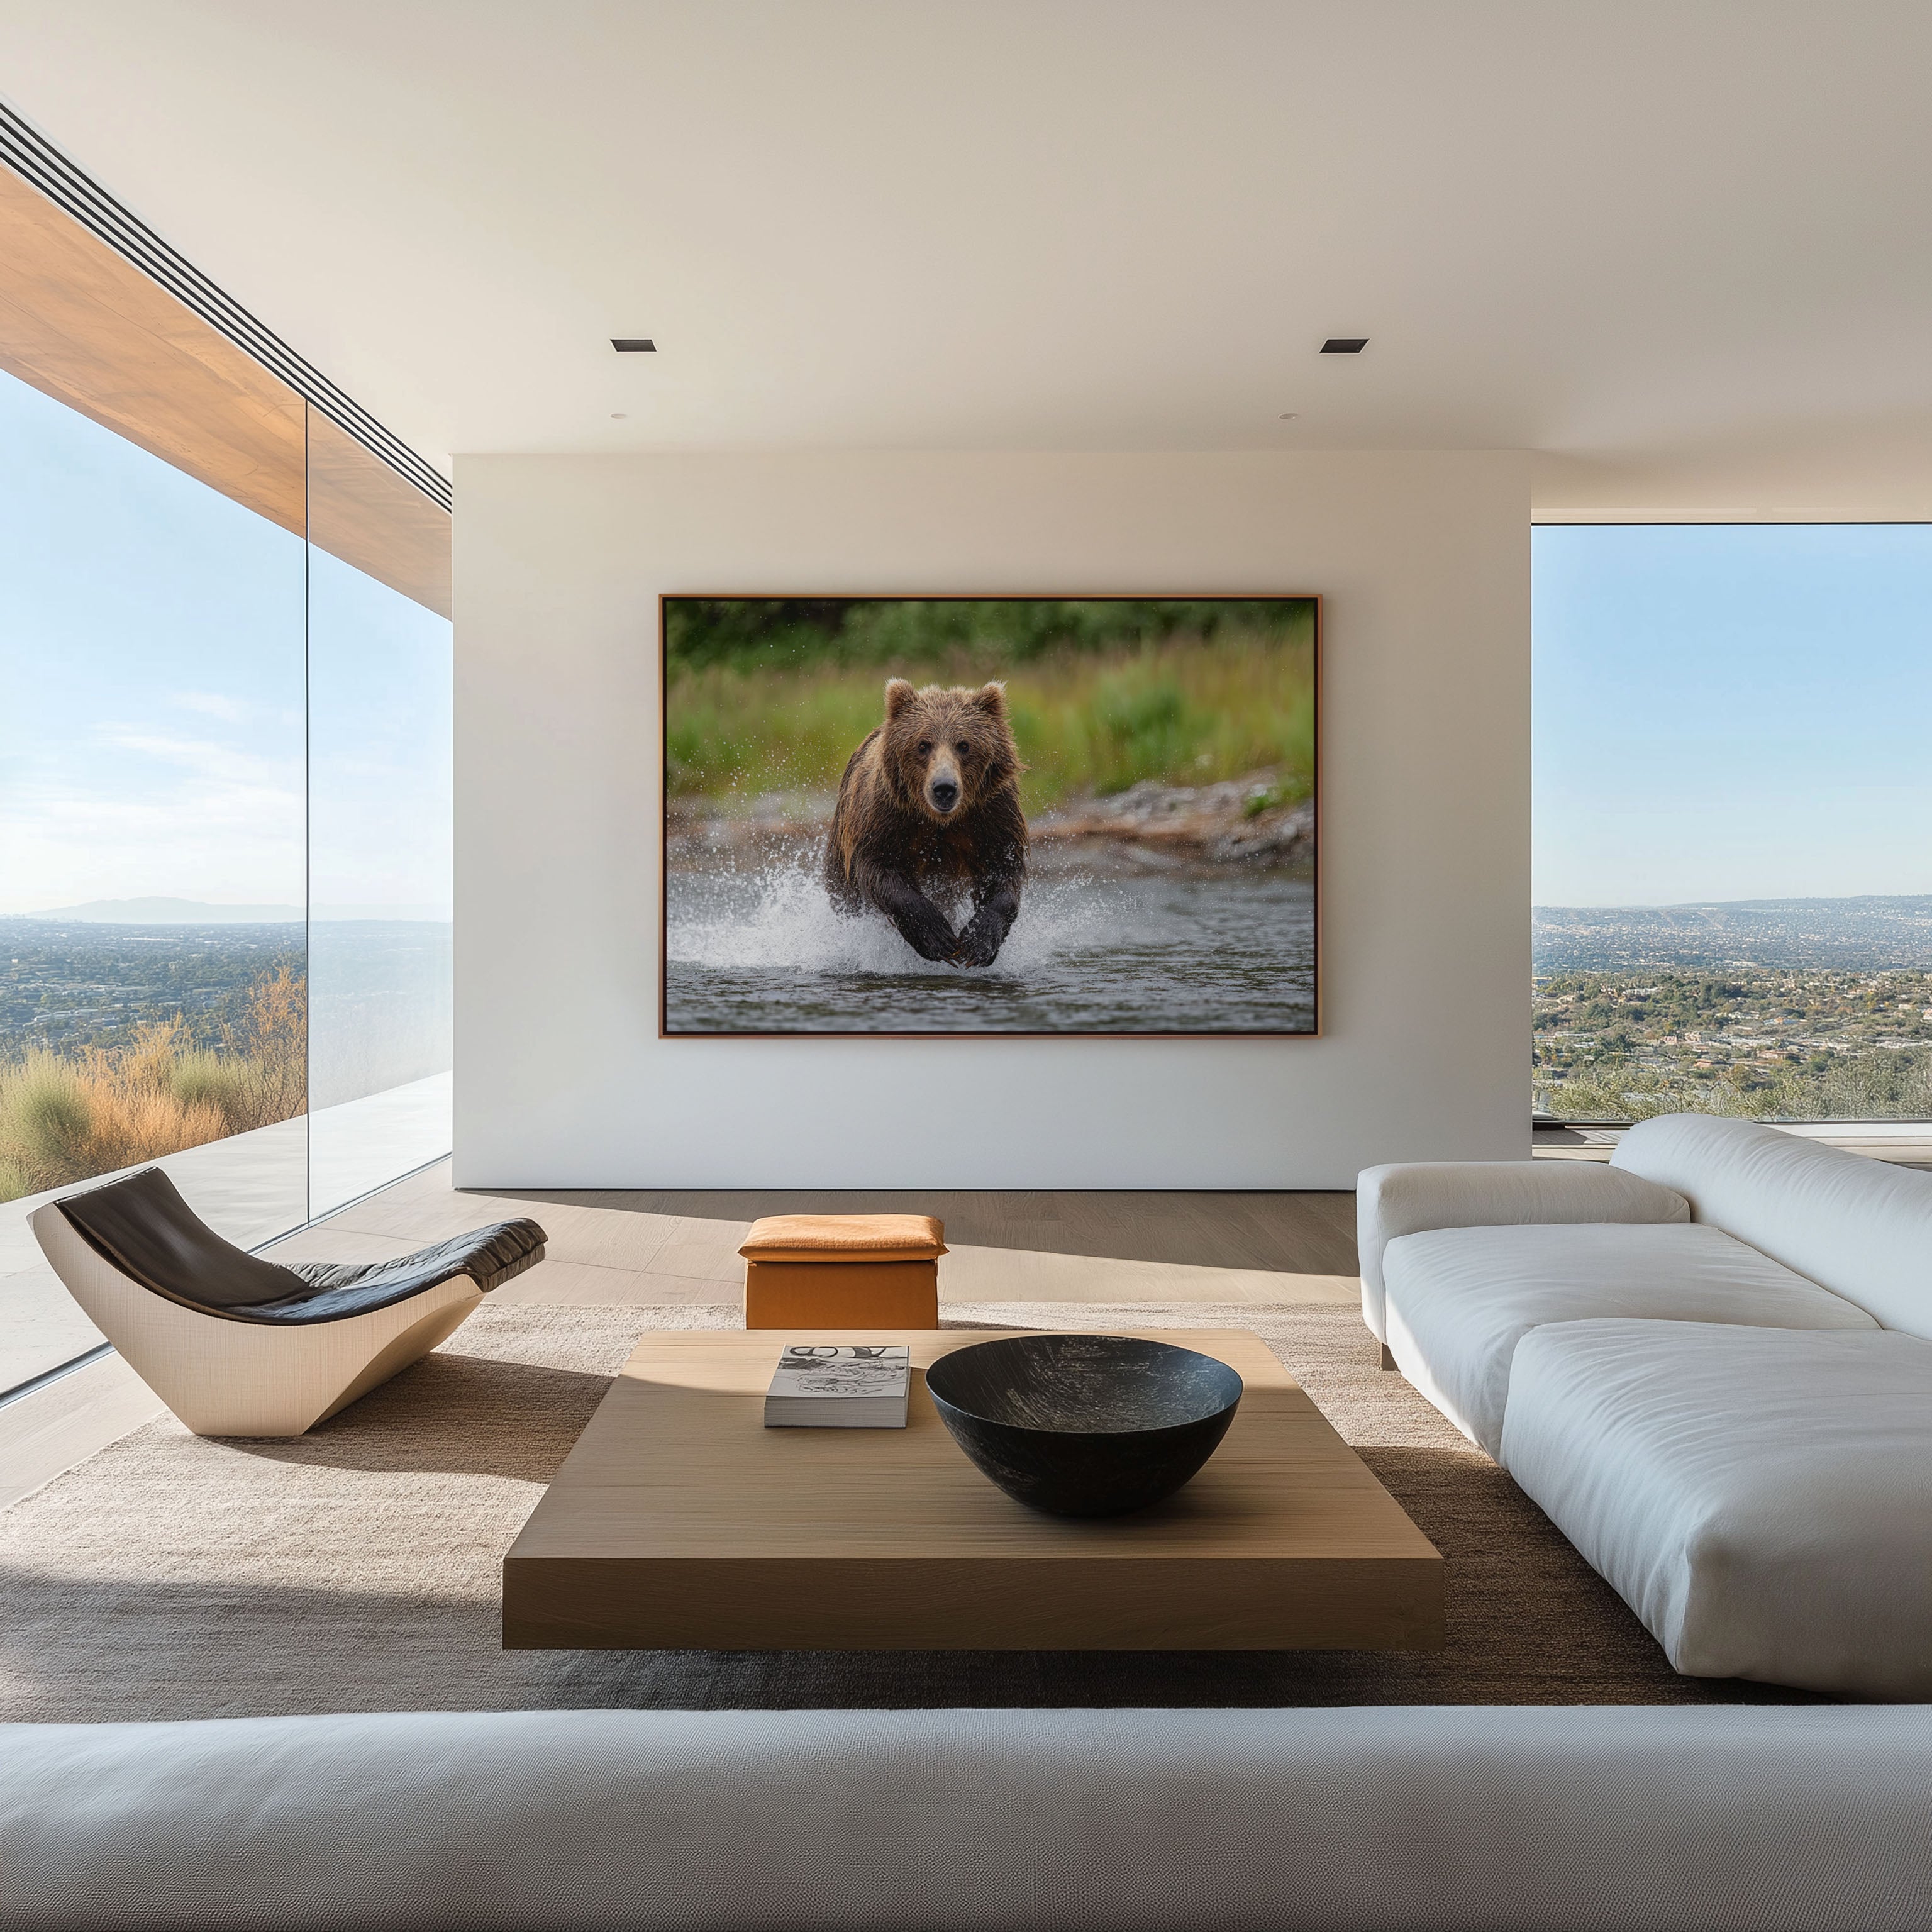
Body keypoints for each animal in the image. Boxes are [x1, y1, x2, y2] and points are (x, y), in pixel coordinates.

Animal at [823, 678, 1028, 967]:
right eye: (923, 744)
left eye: (964, 745)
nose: (944, 788)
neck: (941, 820)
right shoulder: (887, 814)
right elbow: (880, 868)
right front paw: (938, 938)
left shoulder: (991, 813)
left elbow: (1003, 870)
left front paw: (978, 943)